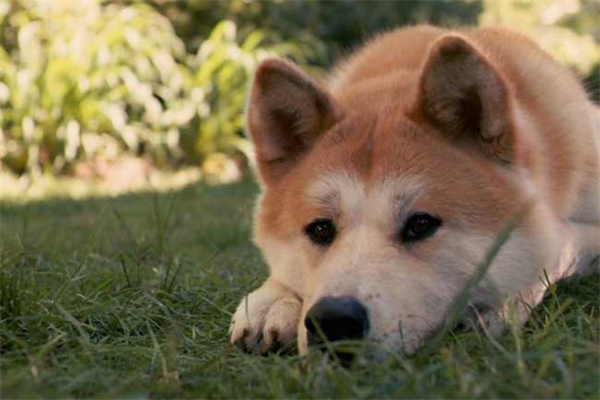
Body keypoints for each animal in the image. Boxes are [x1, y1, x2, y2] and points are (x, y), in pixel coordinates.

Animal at [229, 24, 600, 356]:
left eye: (421, 224)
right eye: (320, 229)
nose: (334, 320)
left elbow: (557, 247)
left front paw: (503, 303)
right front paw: (273, 300)